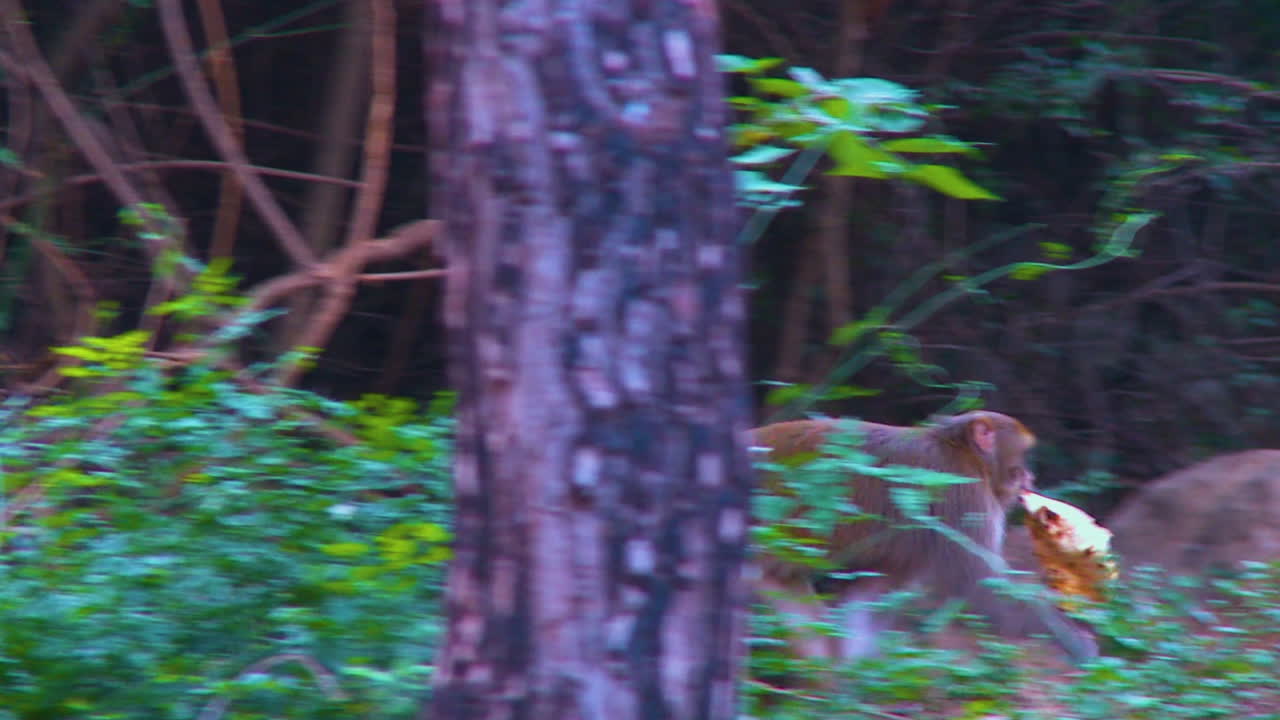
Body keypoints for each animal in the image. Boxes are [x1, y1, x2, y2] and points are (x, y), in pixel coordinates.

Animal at [751, 410, 1098, 665]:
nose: (1029, 475)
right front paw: (1078, 642)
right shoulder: (964, 498)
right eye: (1024, 455)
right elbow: (979, 588)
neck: (962, 451)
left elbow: (871, 592)